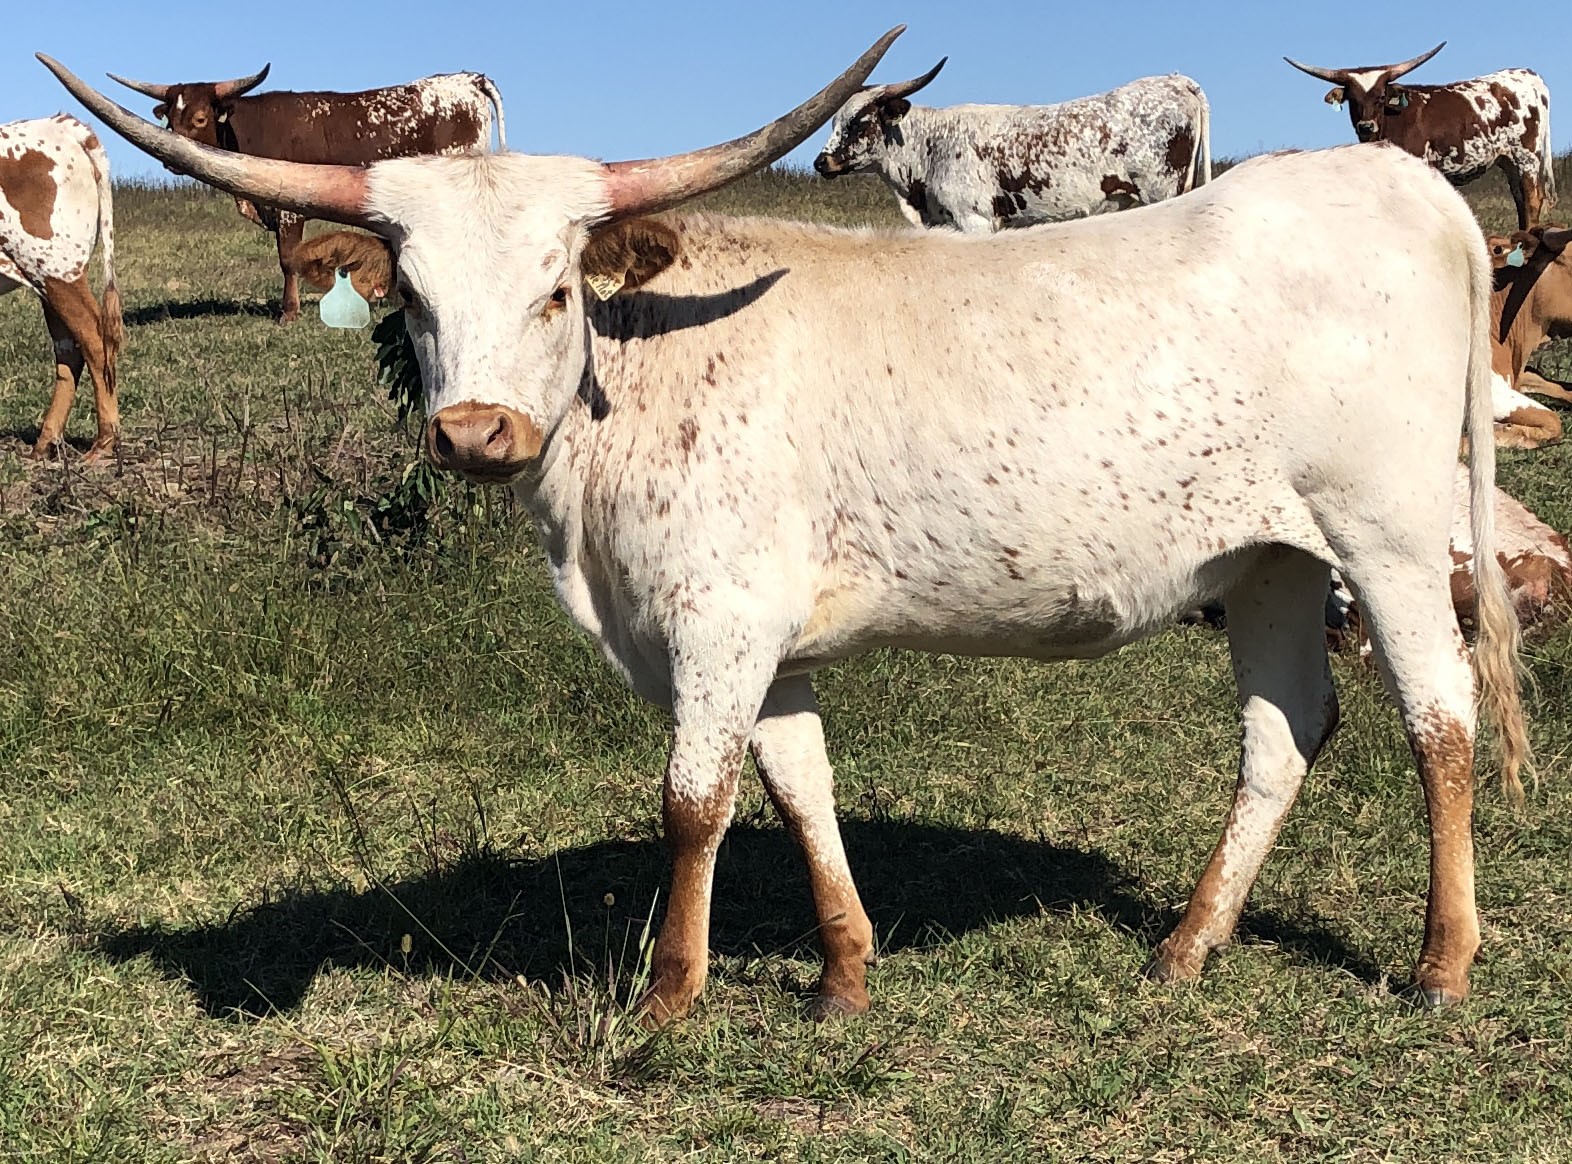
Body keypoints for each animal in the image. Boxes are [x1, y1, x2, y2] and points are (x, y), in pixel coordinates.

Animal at [0, 114, 122, 460]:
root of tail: (58, 123)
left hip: (57, 270)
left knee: (95, 340)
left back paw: (104, 442)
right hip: (45, 277)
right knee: (69, 349)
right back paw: (46, 442)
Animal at [107, 65, 505, 323]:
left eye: (200, 118)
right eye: (169, 119)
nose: (170, 158)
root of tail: (469, 79)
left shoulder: (288, 209)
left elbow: (288, 259)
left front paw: (290, 313)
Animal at [813, 62, 1211, 231]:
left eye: (860, 121)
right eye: (833, 122)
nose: (821, 162)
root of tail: (1177, 81)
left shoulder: (975, 219)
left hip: (1164, 191)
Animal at [1284, 43, 1555, 230]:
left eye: (1380, 97)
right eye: (1353, 99)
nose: (1366, 126)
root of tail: (1528, 75)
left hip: (1527, 156)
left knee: (1532, 199)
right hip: (1508, 160)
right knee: (1520, 200)